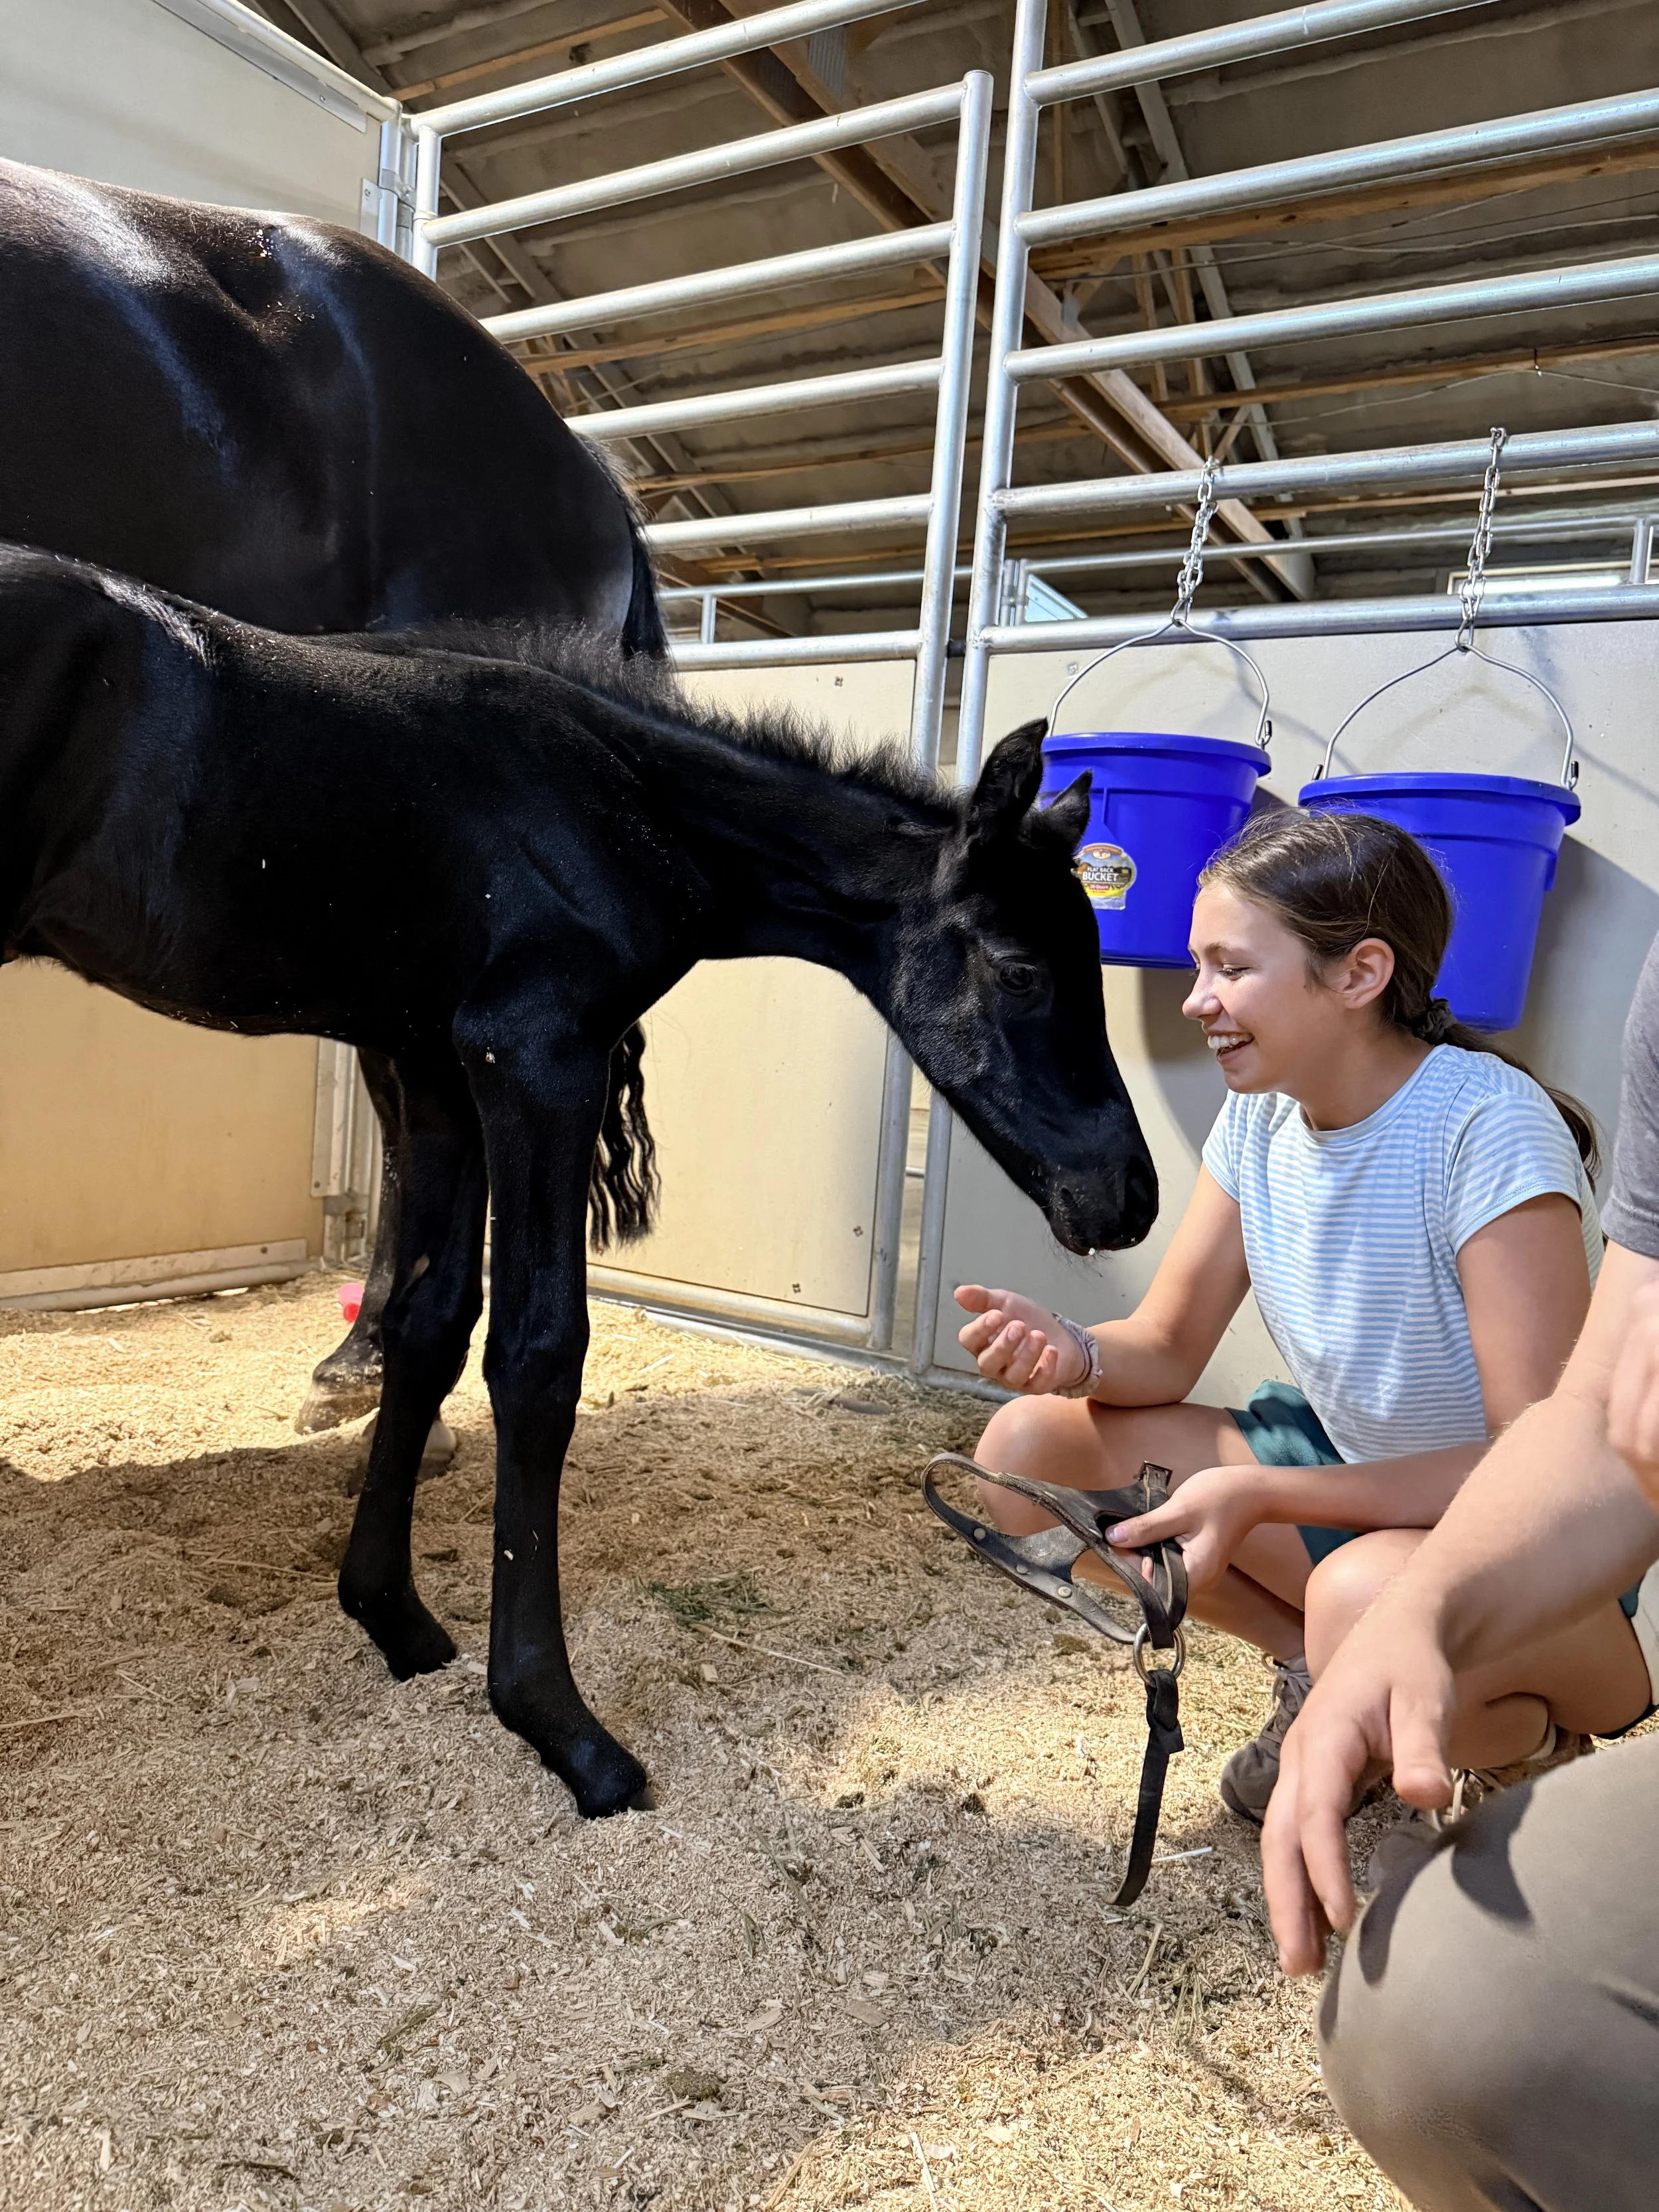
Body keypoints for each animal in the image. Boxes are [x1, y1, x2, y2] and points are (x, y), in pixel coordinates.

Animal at [0, 545, 1158, 1817]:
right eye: (1021, 969)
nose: (1129, 1195)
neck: (621, 806)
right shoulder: (537, 1055)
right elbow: (537, 1355)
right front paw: (559, 1724)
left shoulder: (438, 1067)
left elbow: (430, 1325)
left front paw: (391, 1615)